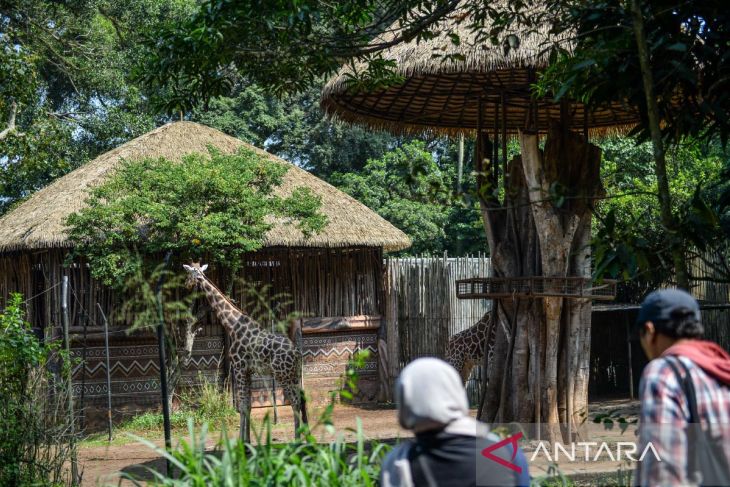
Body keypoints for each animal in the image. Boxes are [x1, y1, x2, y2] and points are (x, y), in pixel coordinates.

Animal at [185, 264, 308, 442]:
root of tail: (297, 353)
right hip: (294, 374)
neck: (231, 325)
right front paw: (248, 440)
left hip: (282, 374)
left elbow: (242, 406)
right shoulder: (248, 371)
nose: (186, 285)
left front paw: (241, 442)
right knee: (301, 400)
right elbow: (248, 406)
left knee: (295, 401)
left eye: (188, 273)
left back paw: (297, 439)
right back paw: (305, 436)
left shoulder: (239, 368)